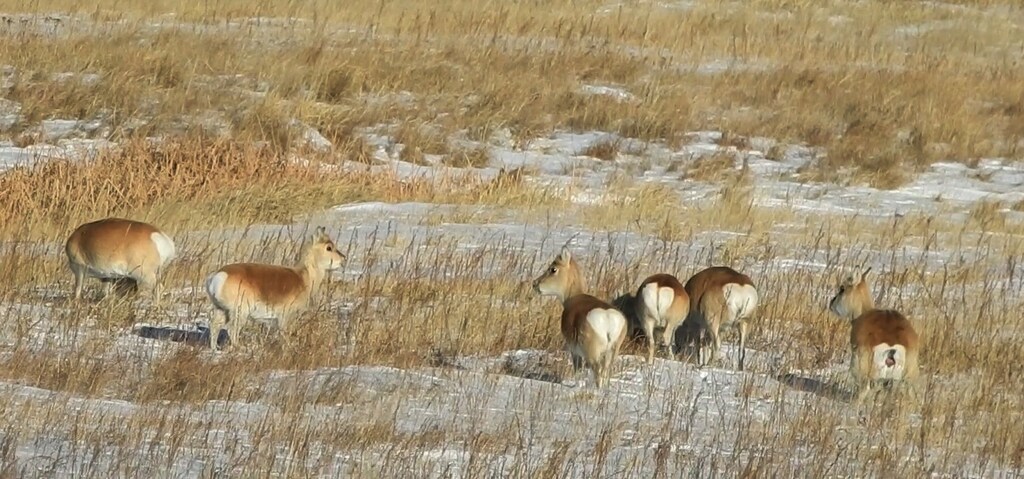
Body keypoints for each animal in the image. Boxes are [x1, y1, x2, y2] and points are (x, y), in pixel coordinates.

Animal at [205, 226, 346, 350]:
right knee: (231, 329)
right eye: (329, 247)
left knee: (215, 326)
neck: (303, 278)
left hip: (221, 310)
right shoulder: (285, 318)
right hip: (239, 313)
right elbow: (284, 335)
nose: (344, 259)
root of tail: (219, 276)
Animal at [532, 246, 627, 388]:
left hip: (593, 354)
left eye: (553, 269)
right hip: (611, 353)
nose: (535, 283)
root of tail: (607, 317)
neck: (573, 298)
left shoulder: (574, 351)